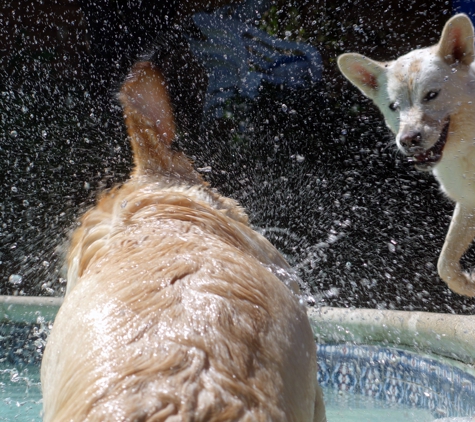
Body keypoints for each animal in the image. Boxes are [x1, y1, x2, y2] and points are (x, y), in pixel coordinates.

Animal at [340, 13, 475, 296]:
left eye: (432, 95)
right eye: (394, 106)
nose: (409, 140)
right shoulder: (468, 203)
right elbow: (444, 265)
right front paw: (470, 284)